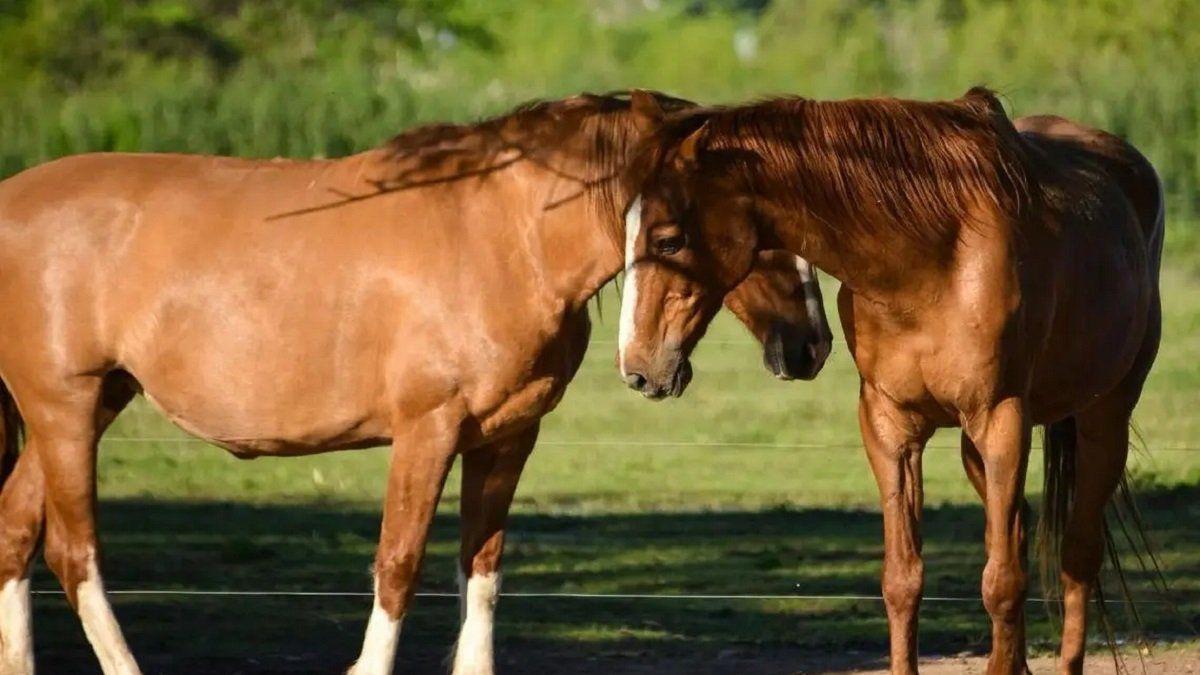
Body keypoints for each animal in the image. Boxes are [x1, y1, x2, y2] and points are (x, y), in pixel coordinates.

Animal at [0, 90, 835, 672]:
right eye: (674, 233)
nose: (812, 345)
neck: (505, 238)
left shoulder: (504, 440)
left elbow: (482, 571)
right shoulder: (425, 433)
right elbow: (398, 567)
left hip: (89, 404)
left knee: (15, 527)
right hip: (65, 407)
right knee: (75, 556)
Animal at [619, 90, 1161, 672]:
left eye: (668, 240)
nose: (638, 364)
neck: (931, 259)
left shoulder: (1002, 421)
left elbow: (1002, 585)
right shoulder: (889, 427)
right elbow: (903, 581)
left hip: (1103, 422)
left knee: (1077, 555)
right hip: (977, 450)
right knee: (1017, 535)